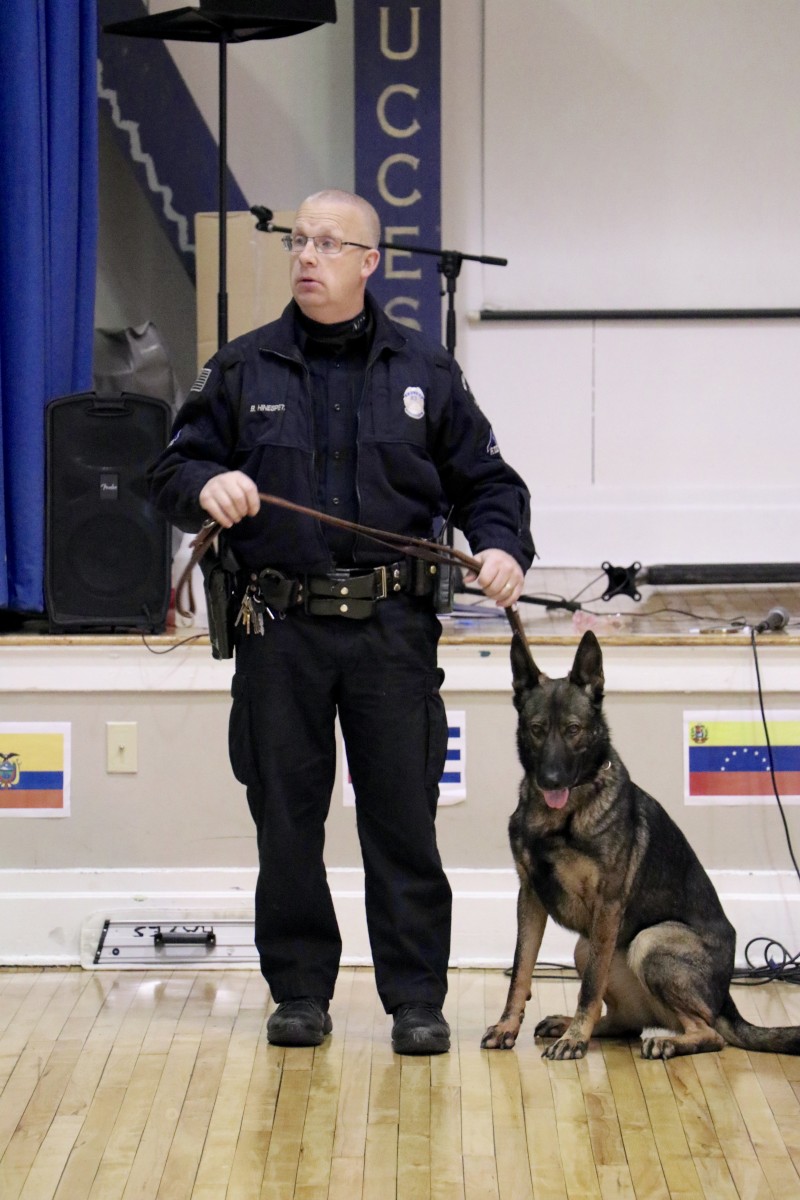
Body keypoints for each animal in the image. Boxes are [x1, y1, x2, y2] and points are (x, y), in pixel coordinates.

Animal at [482, 628, 800, 1060]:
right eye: (536, 728)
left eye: (573, 729)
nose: (550, 780)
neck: (561, 818)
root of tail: (724, 1001)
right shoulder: (530, 898)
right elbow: (521, 971)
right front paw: (508, 1026)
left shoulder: (607, 906)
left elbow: (588, 987)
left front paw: (575, 1039)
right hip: (585, 947)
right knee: (625, 1022)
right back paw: (571, 1025)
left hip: (647, 942)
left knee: (708, 1033)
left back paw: (663, 1042)